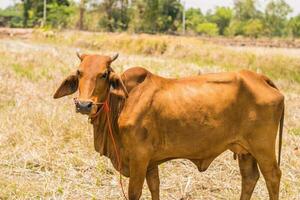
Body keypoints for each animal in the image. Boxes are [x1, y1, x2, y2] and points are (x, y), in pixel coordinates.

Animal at [52, 53, 284, 200]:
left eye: (104, 74)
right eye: (79, 72)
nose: (83, 105)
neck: (123, 101)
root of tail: (260, 77)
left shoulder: (139, 158)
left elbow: (135, 192)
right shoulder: (151, 162)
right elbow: (155, 187)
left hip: (263, 148)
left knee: (272, 177)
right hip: (245, 151)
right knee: (249, 178)